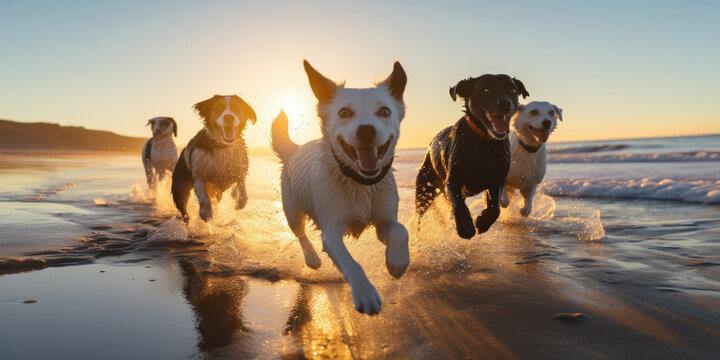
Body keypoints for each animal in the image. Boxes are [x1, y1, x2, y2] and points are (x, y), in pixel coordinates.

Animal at [270, 60, 408, 314]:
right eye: (344, 112)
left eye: (385, 111)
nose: (366, 130)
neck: (359, 181)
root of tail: (295, 149)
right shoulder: (331, 232)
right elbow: (350, 262)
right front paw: (365, 291)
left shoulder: (385, 222)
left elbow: (400, 231)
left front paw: (397, 262)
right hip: (291, 209)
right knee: (300, 233)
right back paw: (312, 258)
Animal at [416, 75, 528, 239]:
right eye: (485, 90)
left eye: (512, 90)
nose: (505, 103)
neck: (483, 141)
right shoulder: (453, 179)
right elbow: (458, 202)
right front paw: (465, 227)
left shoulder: (497, 179)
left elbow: (495, 208)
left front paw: (483, 221)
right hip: (425, 189)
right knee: (419, 215)